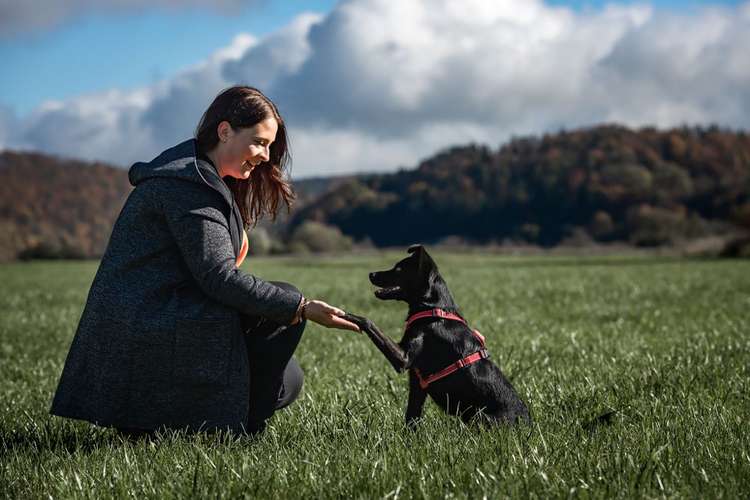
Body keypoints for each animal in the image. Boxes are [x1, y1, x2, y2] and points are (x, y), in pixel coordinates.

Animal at [344, 244, 532, 428]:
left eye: (398, 269)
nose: (371, 274)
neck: (434, 309)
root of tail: (527, 425)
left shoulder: (404, 359)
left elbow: (369, 322)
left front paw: (349, 316)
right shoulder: (417, 383)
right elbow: (412, 416)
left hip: (481, 418)